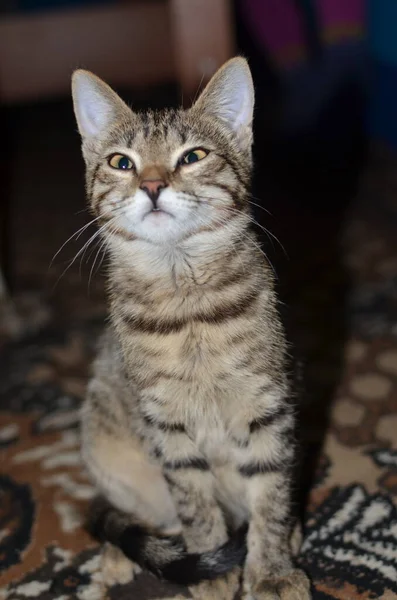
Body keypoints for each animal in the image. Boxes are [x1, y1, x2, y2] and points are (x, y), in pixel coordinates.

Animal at [72, 57, 310, 600]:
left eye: (193, 156)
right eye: (121, 163)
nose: (152, 185)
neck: (189, 312)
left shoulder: (268, 404)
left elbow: (271, 491)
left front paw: (271, 568)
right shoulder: (166, 424)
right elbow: (193, 500)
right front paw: (214, 566)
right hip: (104, 442)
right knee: (137, 515)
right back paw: (121, 557)